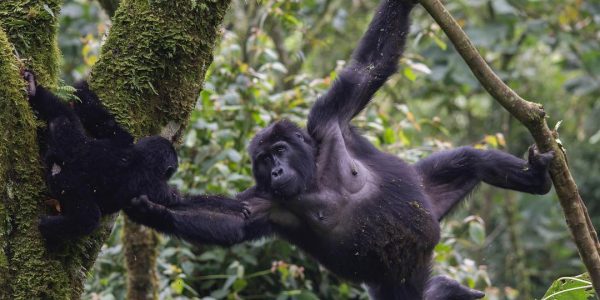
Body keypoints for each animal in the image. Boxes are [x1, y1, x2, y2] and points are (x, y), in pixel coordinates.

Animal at [24, 72, 177, 246]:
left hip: (68, 148)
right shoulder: (158, 189)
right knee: (88, 218)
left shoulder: (121, 143)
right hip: (68, 184)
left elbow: (105, 124)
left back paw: (33, 89)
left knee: (63, 116)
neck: (142, 160)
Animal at [126, 0, 552, 298]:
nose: (276, 170)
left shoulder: (328, 118)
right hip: (401, 273)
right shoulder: (269, 200)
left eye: (278, 151)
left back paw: (536, 180)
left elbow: (367, 68)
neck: (314, 172)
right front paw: (151, 209)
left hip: (427, 202)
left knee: (470, 162)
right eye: (263, 161)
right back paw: (447, 289)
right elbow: (233, 219)